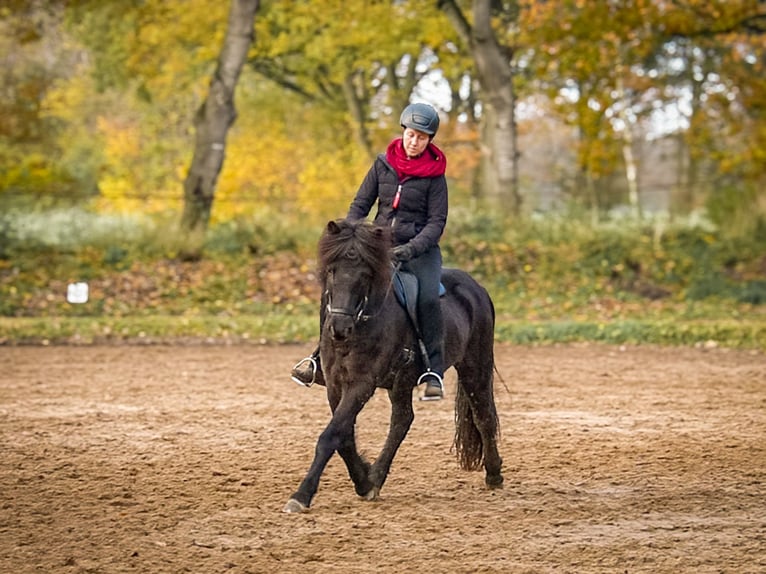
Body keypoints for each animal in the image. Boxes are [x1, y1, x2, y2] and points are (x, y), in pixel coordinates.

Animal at [283, 218, 503, 513]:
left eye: (365, 275)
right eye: (331, 271)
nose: (339, 328)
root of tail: (476, 288)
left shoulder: (362, 383)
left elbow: (331, 435)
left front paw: (302, 495)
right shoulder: (335, 383)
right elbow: (344, 436)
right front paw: (364, 481)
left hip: (474, 364)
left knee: (483, 416)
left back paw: (494, 474)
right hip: (402, 381)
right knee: (402, 420)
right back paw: (376, 475)